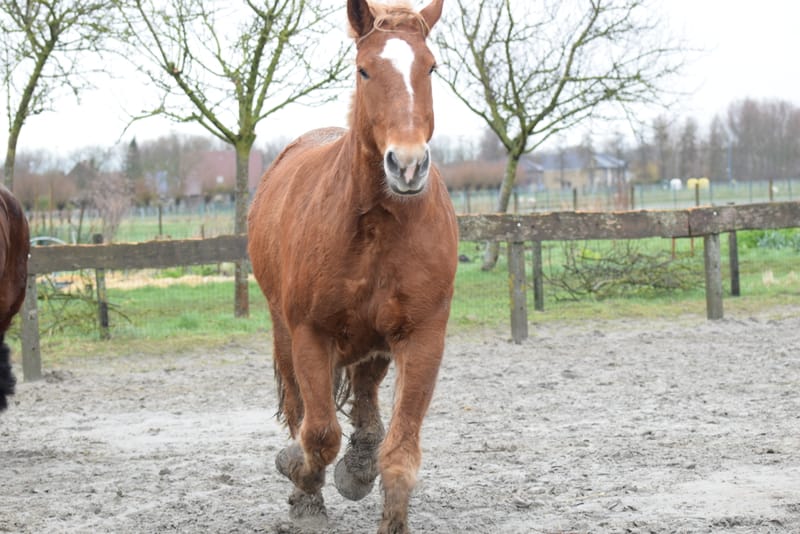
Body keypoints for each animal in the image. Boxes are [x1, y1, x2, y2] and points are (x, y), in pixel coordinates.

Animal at [247, 0, 456, 531]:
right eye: (365, 69)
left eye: (430, 68)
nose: (407, 165)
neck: (376, 226)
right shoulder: (311, 335)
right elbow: (319, 435)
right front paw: (299, 479)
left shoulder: (421, 338)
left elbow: (400, 454)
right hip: (285, 332)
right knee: (303, 411)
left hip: (374, 341)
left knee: (364, 399)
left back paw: (358, 466)